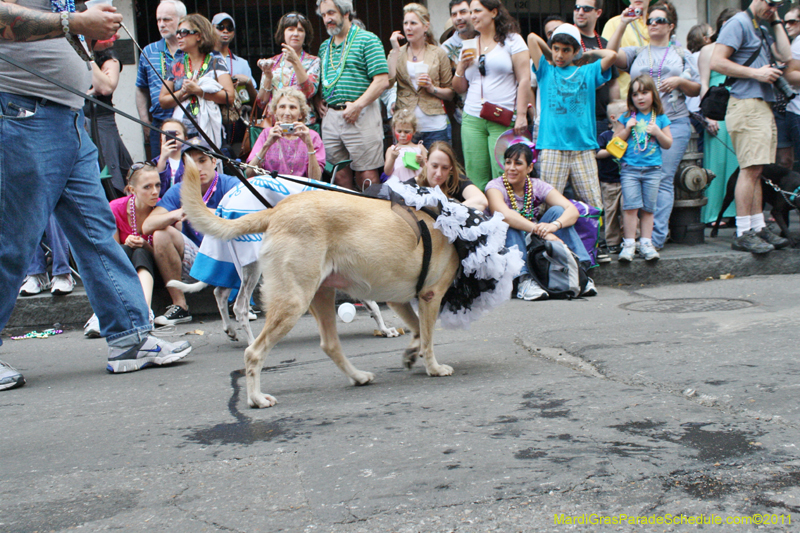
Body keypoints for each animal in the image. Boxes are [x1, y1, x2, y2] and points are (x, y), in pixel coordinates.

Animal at [179, 158, 460, 408]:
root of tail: (275, 211)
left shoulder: (396, 299)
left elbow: (416, 330)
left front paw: (410, 352)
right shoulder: (429, 297)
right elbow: (427, 337)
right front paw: (433, 367)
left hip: (320, 295)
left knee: (328, 344)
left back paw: (357, 376)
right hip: (289, 299)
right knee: (252, 348)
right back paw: (256, 397)